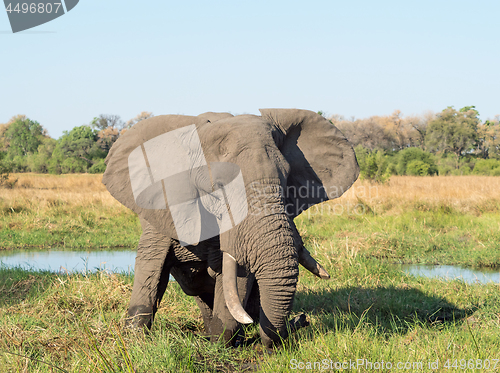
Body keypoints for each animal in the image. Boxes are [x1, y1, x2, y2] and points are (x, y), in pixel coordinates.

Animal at [102, 109, 360, 348]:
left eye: (287, 180)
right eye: (218, 188)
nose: (302, 320)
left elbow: (233, 273)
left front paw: (220, 341)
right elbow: (151, 265)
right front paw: (135, 340)